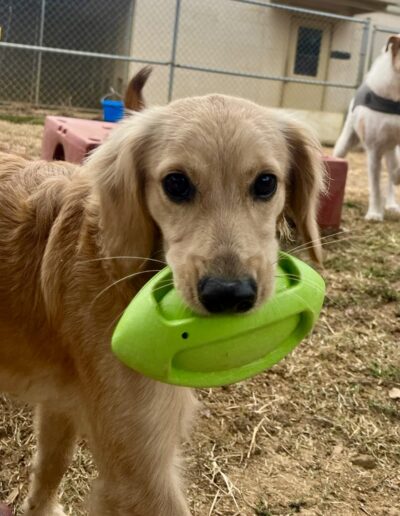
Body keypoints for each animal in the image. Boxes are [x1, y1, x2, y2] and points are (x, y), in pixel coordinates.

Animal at [0, 93, 324, 516]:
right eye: (176, 183)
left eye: (266, 183)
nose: (228, 294)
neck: (117, 264)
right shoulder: (140, 472)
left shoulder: (61, 403)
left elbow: (49, 470)